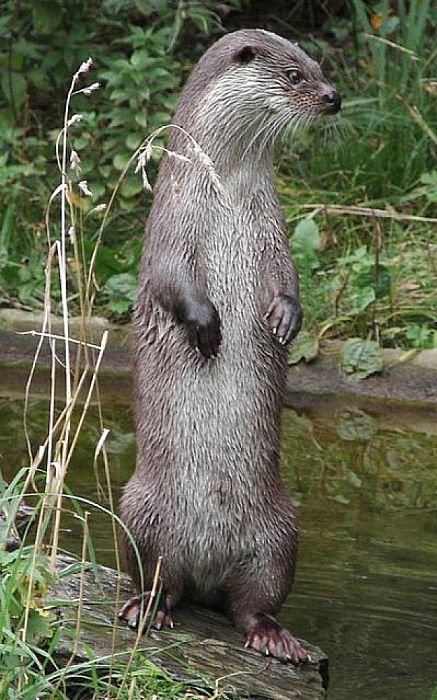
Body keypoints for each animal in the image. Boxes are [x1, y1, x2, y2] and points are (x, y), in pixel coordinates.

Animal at [119, 28, 341, 663]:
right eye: (294, 75)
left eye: (318, 66)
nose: (333, 97)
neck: (223, 194)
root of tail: (204, 568)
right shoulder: (170, 226)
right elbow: (172, 282)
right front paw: (207, 326)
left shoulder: (273, 228)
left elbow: (290, 279)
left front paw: (286, 319)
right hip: (139, 512)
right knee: (158, 578)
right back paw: (149, 609)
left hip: (282, 533)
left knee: (251, 602)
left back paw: (273, 635)